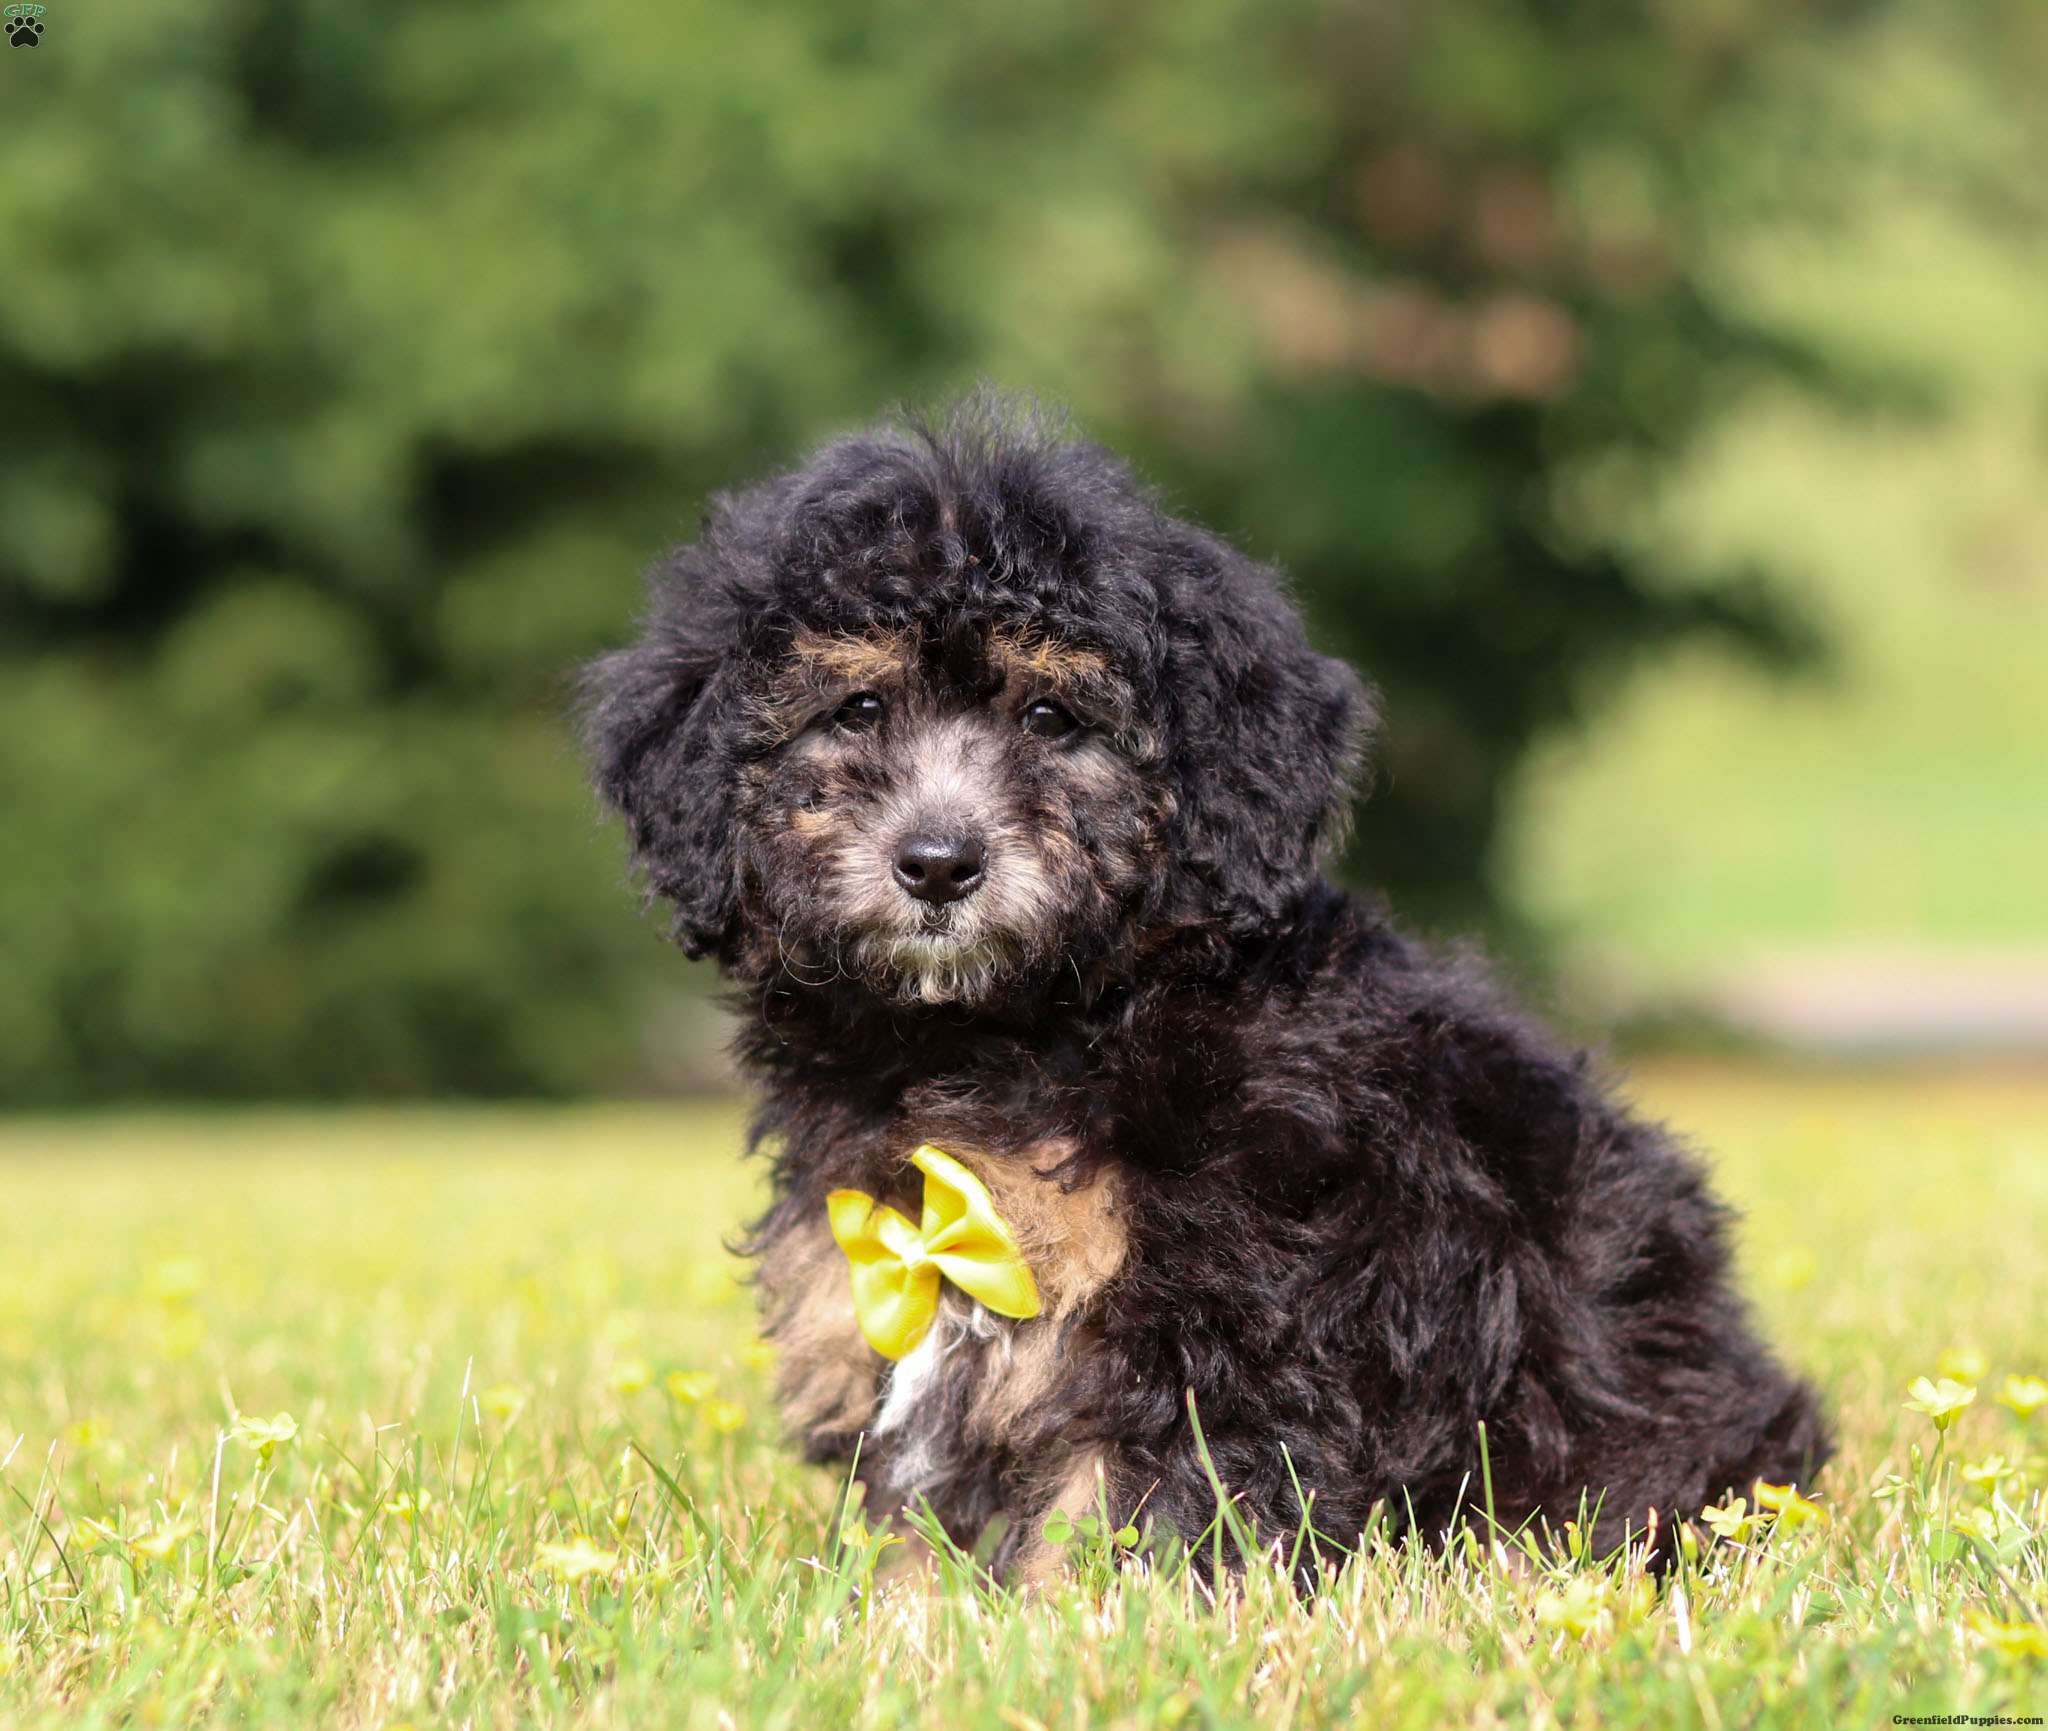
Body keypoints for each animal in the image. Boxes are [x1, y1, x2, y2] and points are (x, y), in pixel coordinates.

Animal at [585, 395, 1835, 1581]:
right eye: (857, 709)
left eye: (1050, 717)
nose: (937, 864)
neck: (1023, 1024)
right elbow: (917, 1539)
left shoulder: (1209, 1322)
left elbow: (1134, 1520)